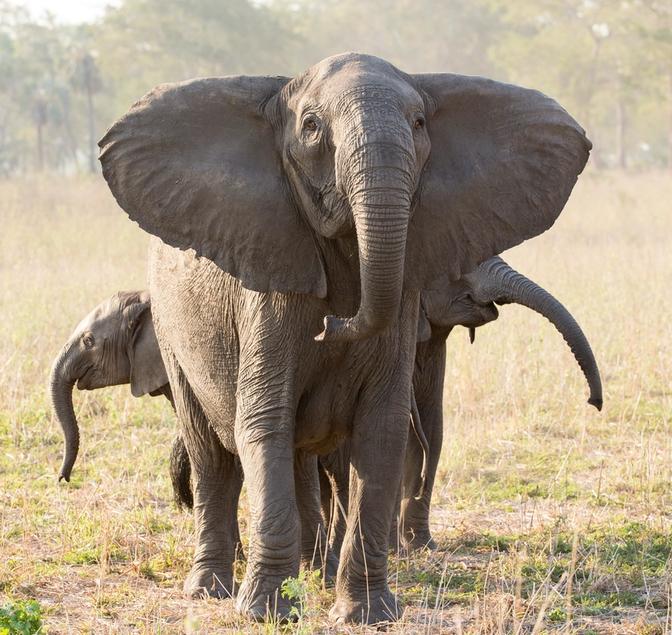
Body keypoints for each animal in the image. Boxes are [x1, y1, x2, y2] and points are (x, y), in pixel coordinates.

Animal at [98, 52, 591, 623]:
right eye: (311, 127)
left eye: (419, 124)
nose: (332, 324)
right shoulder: (267, 291)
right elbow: (264, 421)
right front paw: (266, 613)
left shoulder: (404, 302)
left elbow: (383, 431)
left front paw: (367, 614)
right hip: (172, 334)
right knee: (212, 457)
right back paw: (210, 590)